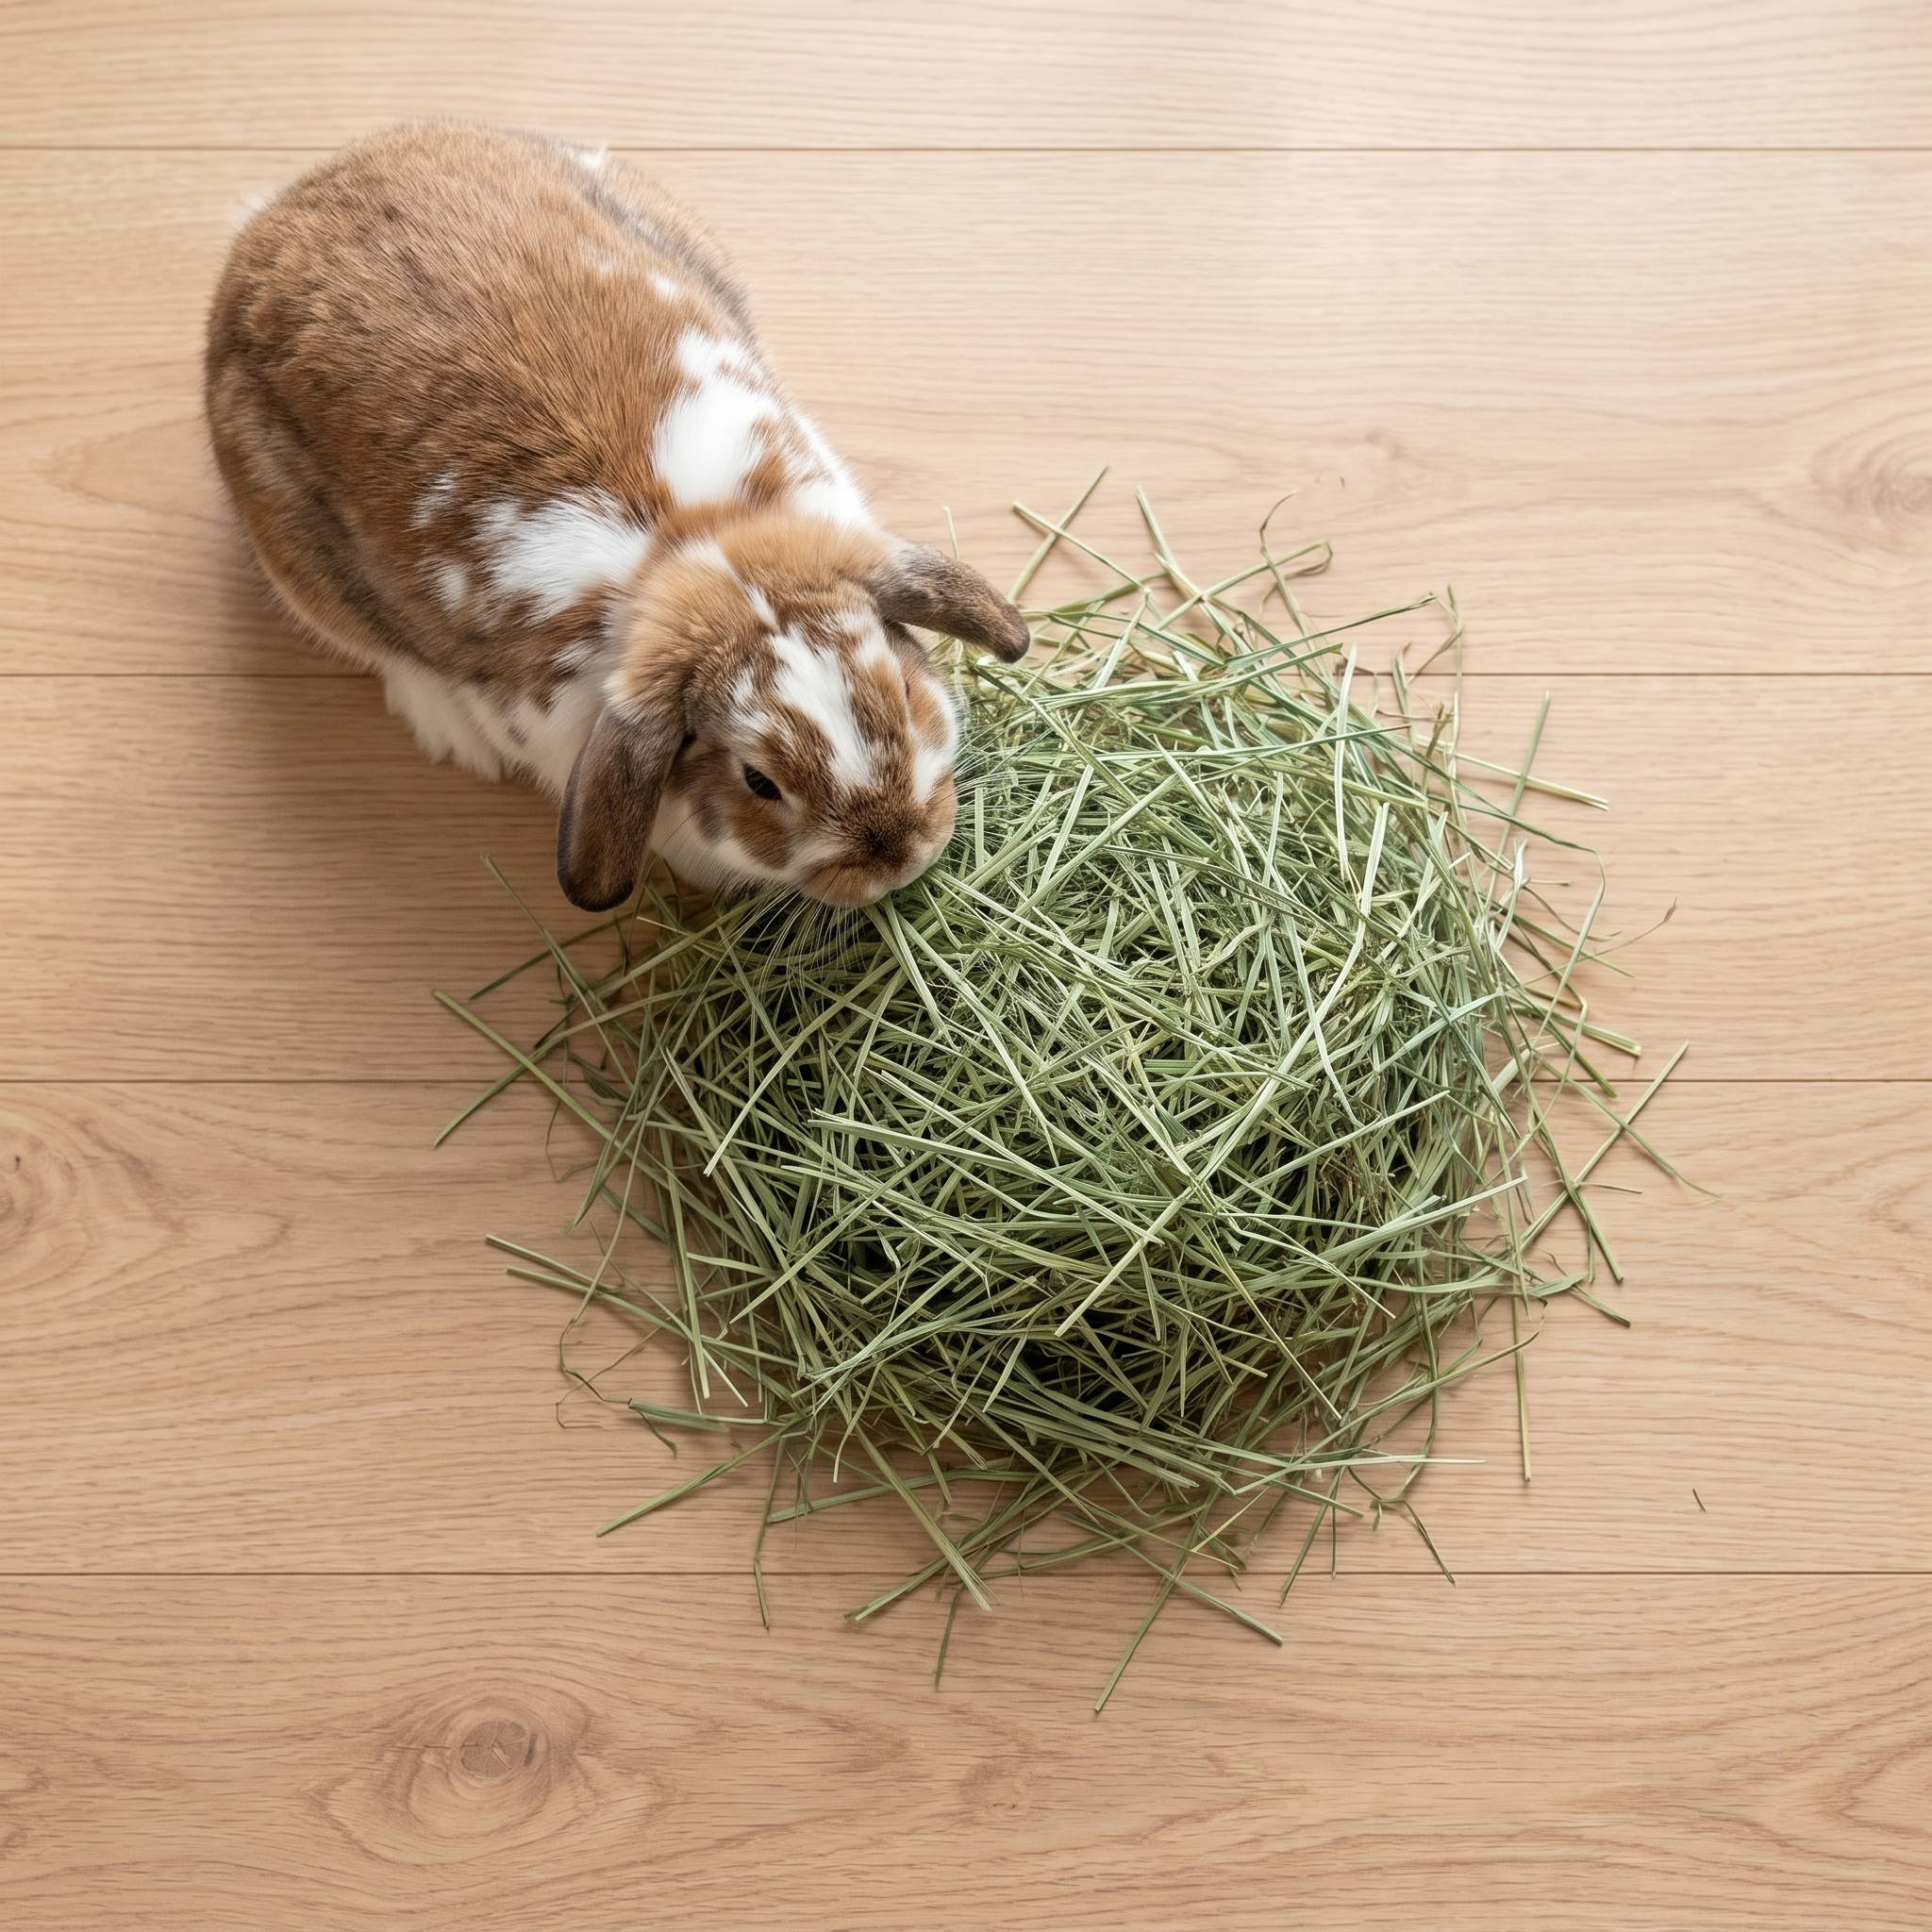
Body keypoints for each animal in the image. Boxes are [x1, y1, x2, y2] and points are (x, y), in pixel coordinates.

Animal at [205, 123, 1029, 912]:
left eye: (903, 695)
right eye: (758, 782)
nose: (899, 859)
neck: (691, 547)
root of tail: (272, 217)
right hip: (293, 559)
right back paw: (454, 729)